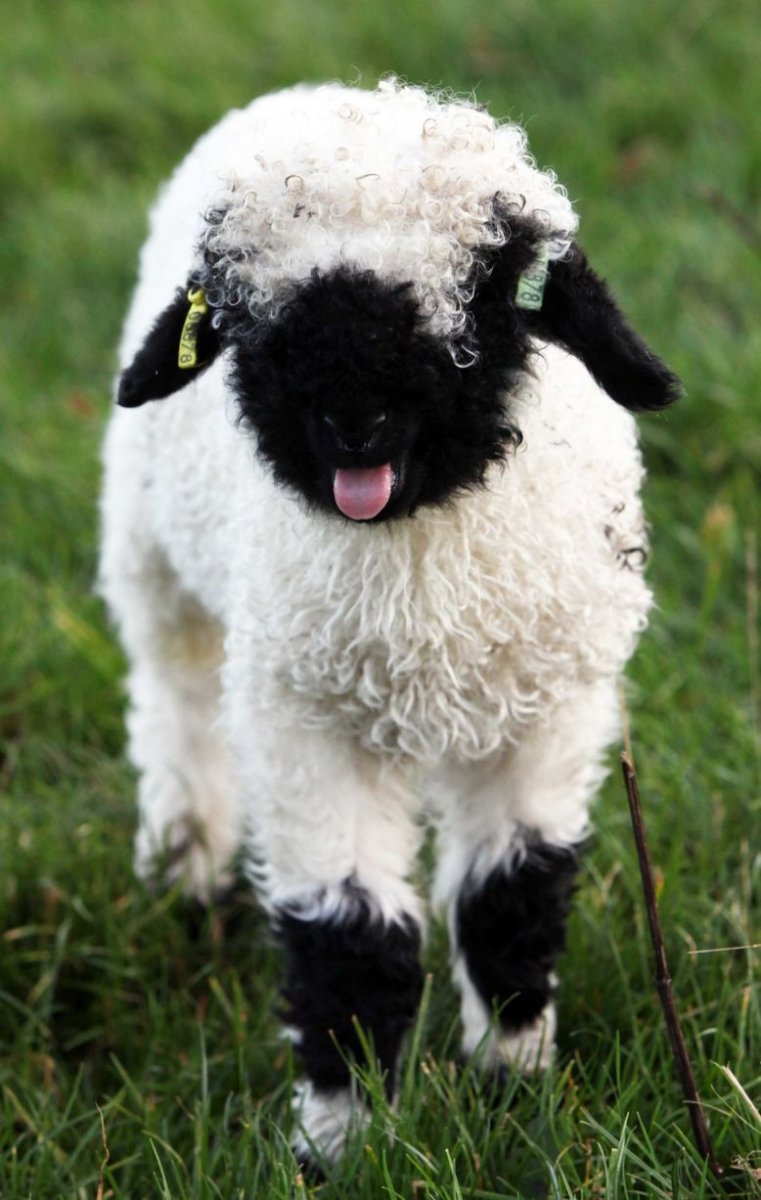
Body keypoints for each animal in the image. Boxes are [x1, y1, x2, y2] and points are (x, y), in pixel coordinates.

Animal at [98, 78, 680, 1165]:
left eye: (484, 292)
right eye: (252, 318)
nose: (351, 418)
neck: (418, 591)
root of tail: (322, 88)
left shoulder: (547, 708)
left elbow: (509, 896)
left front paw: (512, 1087)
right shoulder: (307, 723)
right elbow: (348, 937)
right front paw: (341, 1139)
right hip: (154, 560)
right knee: (177, 701)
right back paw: (184, 859)